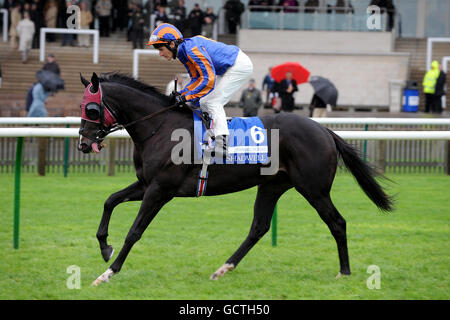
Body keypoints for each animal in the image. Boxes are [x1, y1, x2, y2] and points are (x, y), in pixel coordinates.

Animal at [77, 72, 394, 284]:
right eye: (82, 107)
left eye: (91, 108)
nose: (83, 143)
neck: (159, 126)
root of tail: (325, 130)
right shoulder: (146, 184)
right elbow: (110, 201)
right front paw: (105, 248)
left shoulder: (160, 189)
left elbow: (134, 231)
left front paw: (108, 272)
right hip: (272, 186)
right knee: (259, 227)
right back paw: (223, 268)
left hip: (314, 189)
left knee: (337, 222)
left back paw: (344, 271)